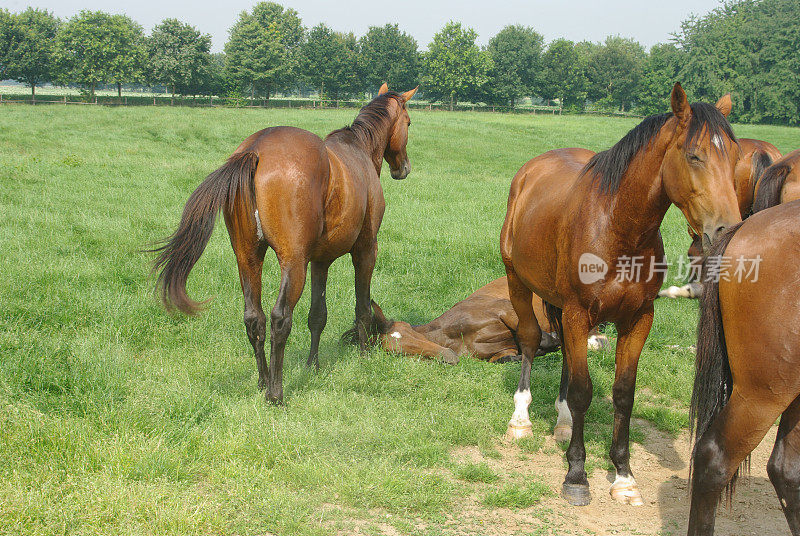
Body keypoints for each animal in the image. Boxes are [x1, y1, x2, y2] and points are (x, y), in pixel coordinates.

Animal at [153, 82, 422, 402]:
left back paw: (263, 381)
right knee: (280, 318)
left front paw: (312, 366)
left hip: (248, 258)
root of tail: (255, 150)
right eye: (408, 123)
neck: (359, 151)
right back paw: (275, 393)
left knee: (253, 319)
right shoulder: (366, 250)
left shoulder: (320, 260)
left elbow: (317, 315)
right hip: (293, 263)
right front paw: (364, 356)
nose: (403, 168)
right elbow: (363, 307)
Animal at [354, 276, 608, 364]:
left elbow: (539, 335)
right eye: (397, 352)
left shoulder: (506, 311)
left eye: (409, 333)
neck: (456, 337)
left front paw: (553, 342)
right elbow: (506, 358)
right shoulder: (501, 352)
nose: (448, 357)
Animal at [504, 84, 740, 506]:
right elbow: (583, 391)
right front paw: (577, 475)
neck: (618, 227)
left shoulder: (638, 318)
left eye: (736, 157)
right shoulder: (579, 313)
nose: (727, 228)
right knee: (531, 341)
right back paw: (521, 419)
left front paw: (624, 476)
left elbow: (623, 394)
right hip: (518, 282)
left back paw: (562, 421)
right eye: (694, 155)